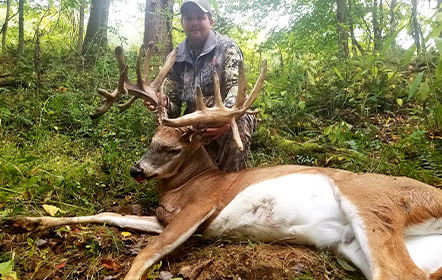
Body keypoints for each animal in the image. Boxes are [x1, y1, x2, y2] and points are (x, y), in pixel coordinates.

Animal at [2, 44, 442, 280]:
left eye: (173, 149)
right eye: (150, 140)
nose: (136, 170)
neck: (183, 188)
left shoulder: (198, 210)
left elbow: (144, 255)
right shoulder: (163, 216)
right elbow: (108, 214)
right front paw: (23, 220)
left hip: (371, 202)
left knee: (396, 270)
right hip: (363, 247)